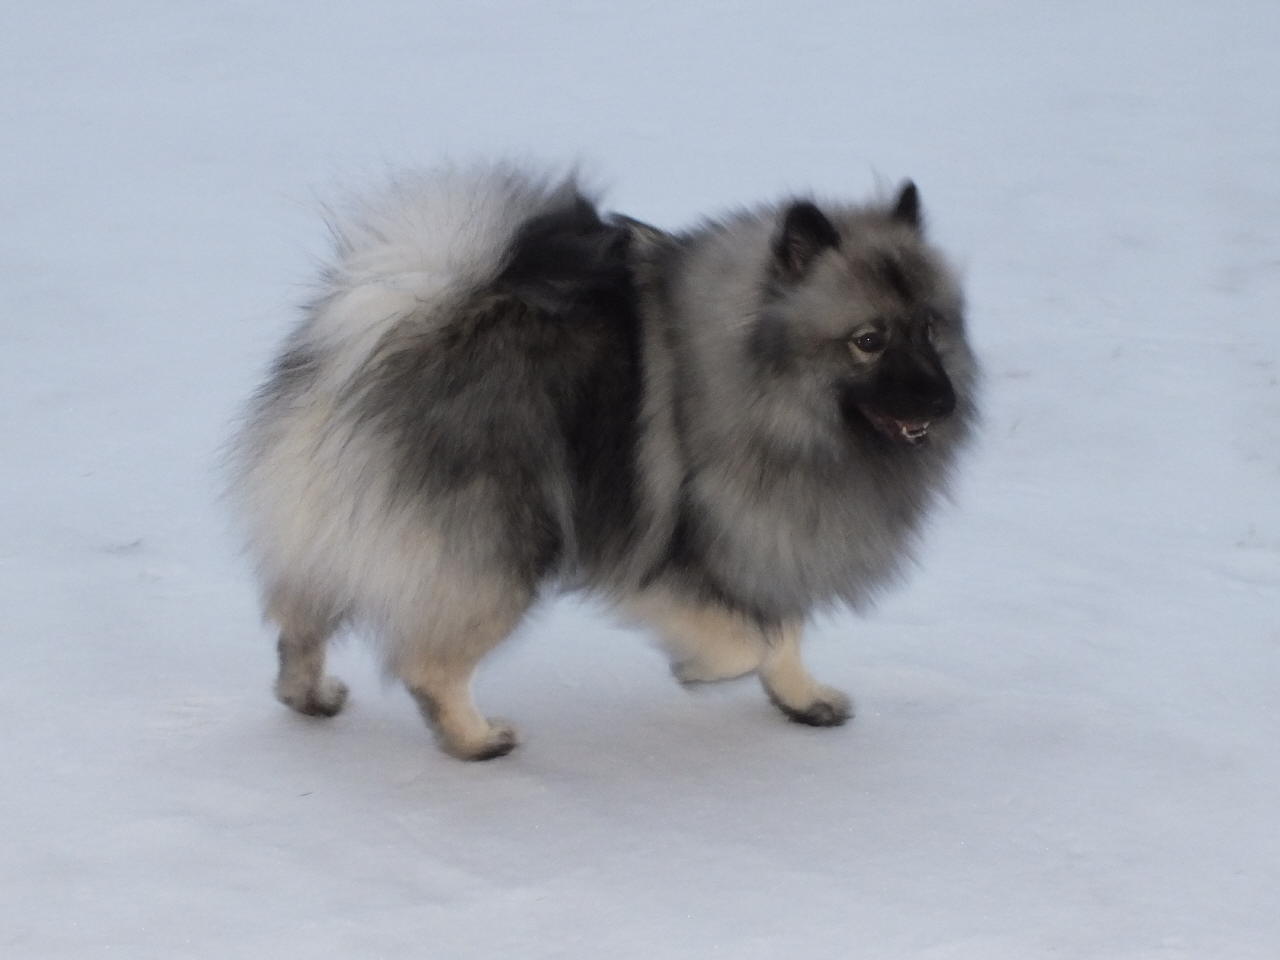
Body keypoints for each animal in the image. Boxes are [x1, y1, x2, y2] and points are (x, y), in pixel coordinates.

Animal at [227, 162, 978, 759]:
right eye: (868, 340)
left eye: (931, 328)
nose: (943, 401)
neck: (760, 377)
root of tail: (395, 321)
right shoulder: (669, 555)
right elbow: (749, 639)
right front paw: (702, 669)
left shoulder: (770, 538)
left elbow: (782, 630)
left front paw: (802, 696)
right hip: (499, 554)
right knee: (427, 663)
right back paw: (475, 740)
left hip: (331, 533)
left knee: (300, 620)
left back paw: (310, 696)